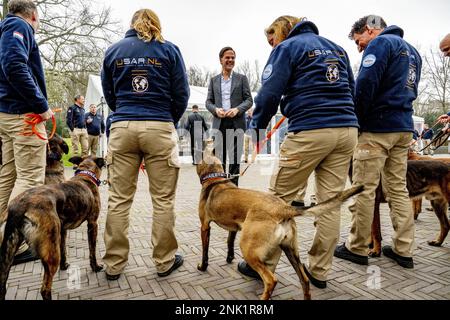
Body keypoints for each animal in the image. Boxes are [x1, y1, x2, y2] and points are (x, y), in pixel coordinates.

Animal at [0, 155, 105, 300]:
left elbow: (64, 249)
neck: (85, 175)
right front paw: (95, 267)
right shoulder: (93, 224)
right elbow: (92, 250)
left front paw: (64, 265)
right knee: (45, 289)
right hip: (51, 254)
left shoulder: (62, 230)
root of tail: (19, 206)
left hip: (8, 252)